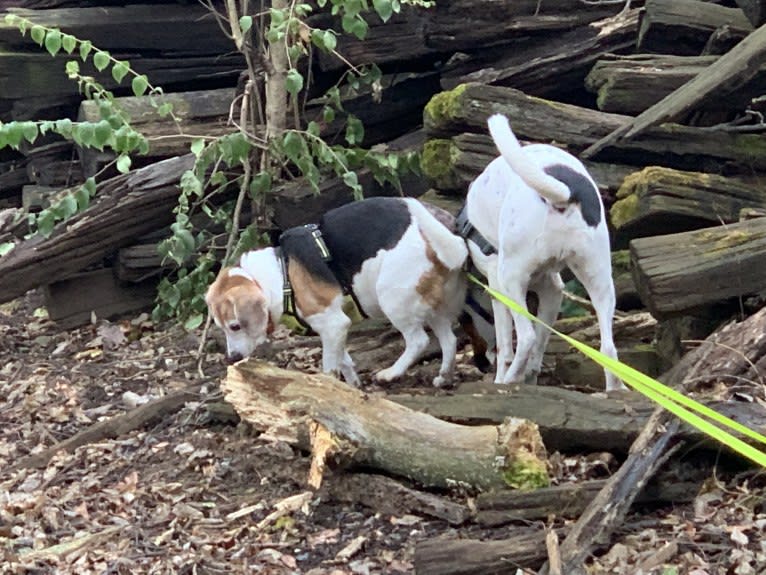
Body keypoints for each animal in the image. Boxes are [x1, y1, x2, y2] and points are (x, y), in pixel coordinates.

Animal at [464, 113, 628, 392]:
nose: (480, 364)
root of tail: (564, 193)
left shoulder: (497, 289)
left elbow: (507, 346)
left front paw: (502, 378)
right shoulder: (553, 290)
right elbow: (540, 343)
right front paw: (531, 375)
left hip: (510, 279)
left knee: (526, 338)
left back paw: (510, 380)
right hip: (599, 278)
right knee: (608, 347)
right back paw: (614, 389)